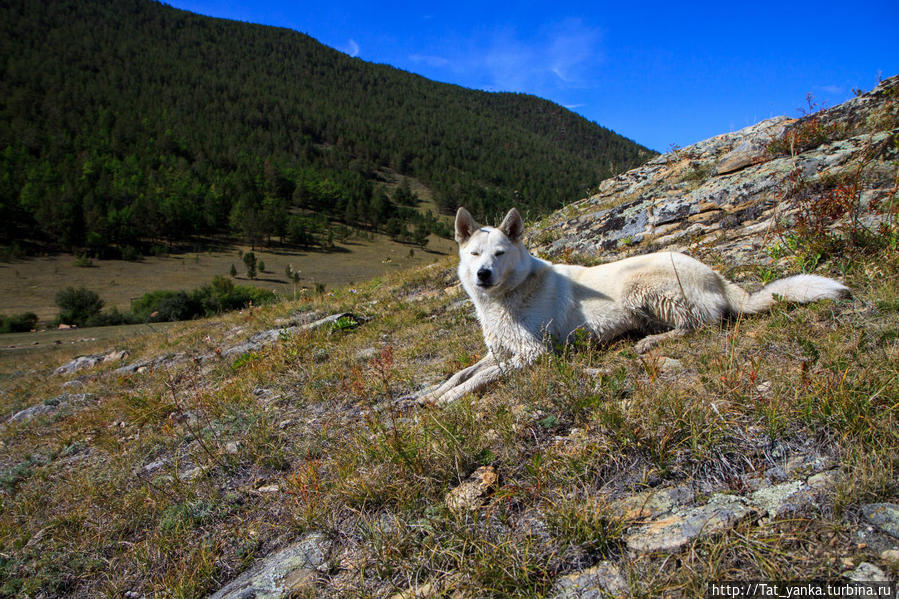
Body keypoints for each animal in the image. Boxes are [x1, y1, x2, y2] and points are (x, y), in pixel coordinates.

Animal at [418, 207, 848, 408]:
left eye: (499, 253)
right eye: (475, 254)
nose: (483, 275)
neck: (506, 297)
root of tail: (717, 275)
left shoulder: (532, 353)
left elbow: (478, 380)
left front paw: (446, 401)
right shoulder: (499, 350)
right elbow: (461, 372)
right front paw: (428, 394)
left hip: (646, 287)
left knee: (703, 324)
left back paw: (651, 343)